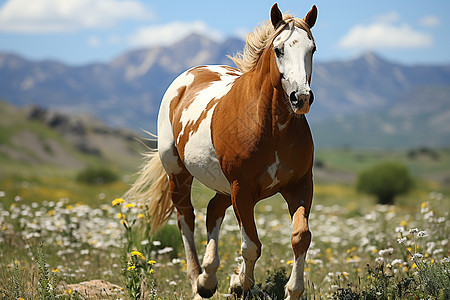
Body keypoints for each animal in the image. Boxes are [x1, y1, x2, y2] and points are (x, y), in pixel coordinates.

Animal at [125, 3, 318, 298]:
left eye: (312, 49)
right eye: (279, 49)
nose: (301, 98)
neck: (271, 127)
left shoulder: (299, 185)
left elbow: (300, 237)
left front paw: (290, 290)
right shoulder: (242, 189)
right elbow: (251, 245)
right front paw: (241, 285)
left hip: (223, 187)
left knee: (213, 210)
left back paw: (208, 277)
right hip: (179, 175)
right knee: (186, 219)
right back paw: (198, 282)